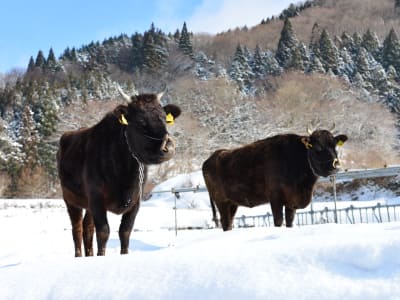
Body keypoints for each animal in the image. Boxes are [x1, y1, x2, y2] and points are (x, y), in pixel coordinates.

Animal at [56, 88, 181, 255]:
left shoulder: (136, 200)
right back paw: (79, 255)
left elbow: (125, 231)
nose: (168, 147)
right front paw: (101, 256)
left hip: (87, 204)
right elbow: (103, 231)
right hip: (70, 200)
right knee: (77, 229)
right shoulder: (96, 198)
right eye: (140, 121)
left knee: (87, 228)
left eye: (164, 119)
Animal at [203, 127, 346, 231]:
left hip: (232, 203)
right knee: (225, 222)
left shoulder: (291, 201)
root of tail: (210, 158)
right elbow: (278, 221)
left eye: (335, 146)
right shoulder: (275, 198)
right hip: (221, 201)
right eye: (317, 148)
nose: (335, 166)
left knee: (229, 221)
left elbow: (289, 221)